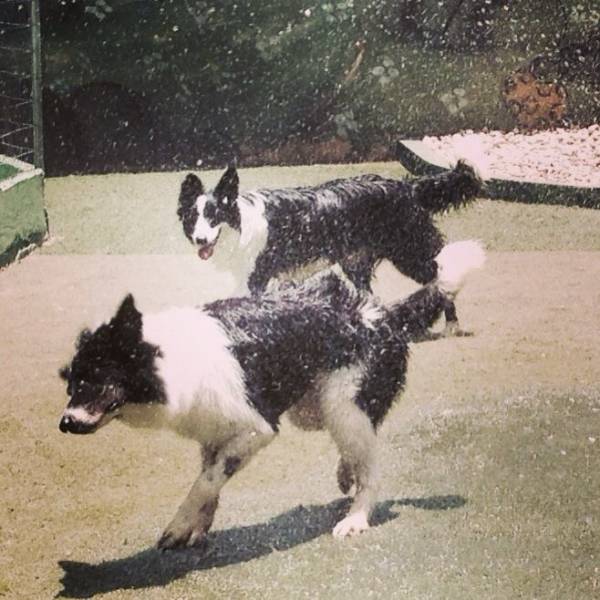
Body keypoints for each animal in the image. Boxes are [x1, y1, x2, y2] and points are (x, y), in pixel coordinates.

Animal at [58, 239, 486, 548]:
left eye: (96, 379)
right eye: (70, 381)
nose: (64, 423)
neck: (167, 357)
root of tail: (384, 314)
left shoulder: (257, 429)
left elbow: (205, 481)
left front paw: (178, 526)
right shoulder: (214, 434)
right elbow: (209, 480)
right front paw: (197, 527)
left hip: (340, 403)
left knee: (372, 470)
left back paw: (356, 518)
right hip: (315, 410)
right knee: (361, 446)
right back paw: (345, 473)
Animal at [177, 162, 482, 336]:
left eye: (214, 216)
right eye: (193, 218)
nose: (200, 240)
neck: (240, 224)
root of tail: (408, 186)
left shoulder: (256, 277)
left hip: (408, 252)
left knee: (441, 273)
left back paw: (452, 325)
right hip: (356, 262)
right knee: (369, 295)